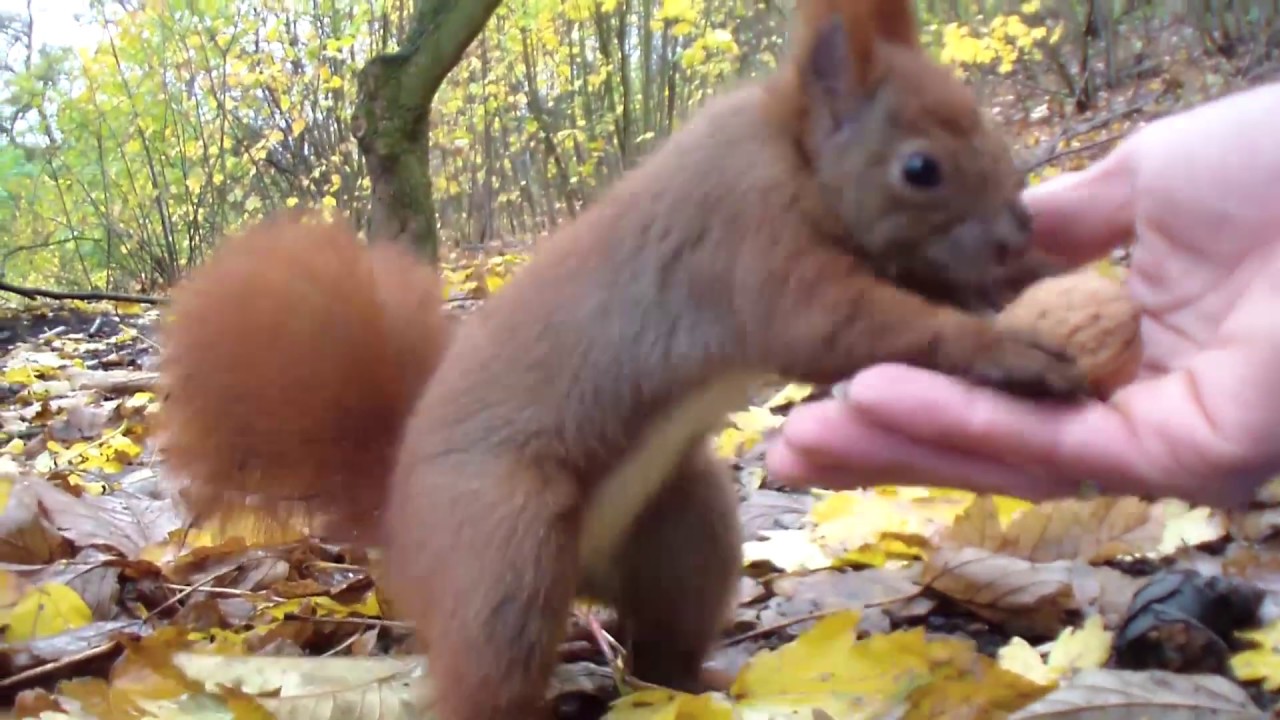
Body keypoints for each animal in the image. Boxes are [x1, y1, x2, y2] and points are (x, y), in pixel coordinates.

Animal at [156, 0, 1091, 717]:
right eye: (920, 168)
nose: (1017, 231)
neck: (788, 154)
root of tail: (396, 514)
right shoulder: (748, 246)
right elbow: (845, 326)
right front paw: (1016, 349)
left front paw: (1040, 280)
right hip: (500, 542)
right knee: (487, 672)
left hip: (682, 526)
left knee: (659, 647)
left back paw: (702, 682)